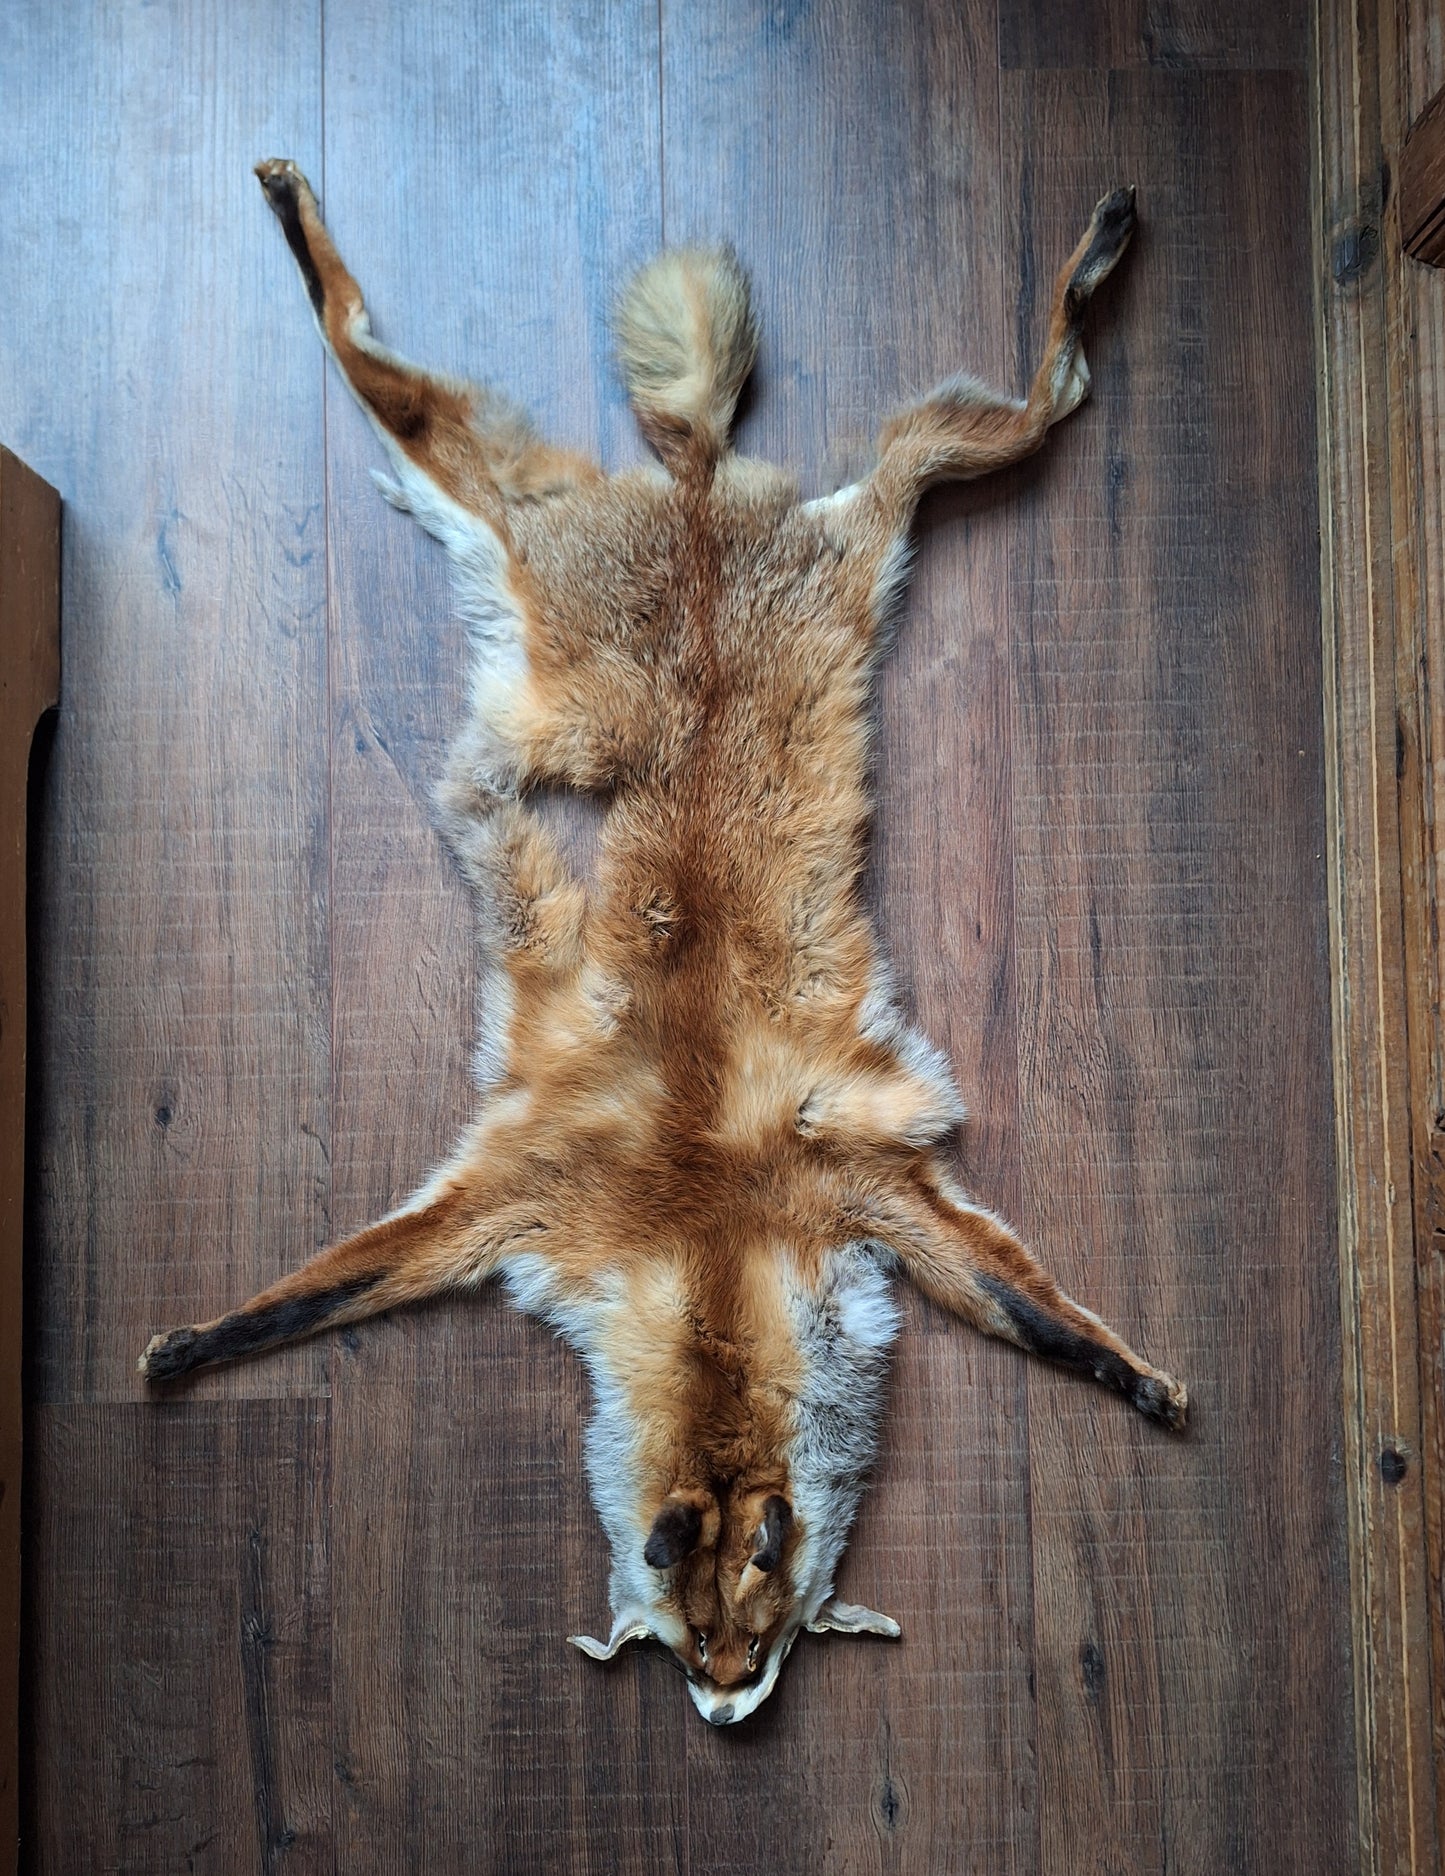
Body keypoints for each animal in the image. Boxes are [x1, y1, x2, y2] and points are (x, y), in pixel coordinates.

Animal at [140, 160, 1185, 1726]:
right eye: (702, 1647)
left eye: (758, 1638)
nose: (727, 1715)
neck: (701, 1225)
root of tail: (695, 499)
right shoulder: (527, 1189)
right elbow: (299, 1301)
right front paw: (199, 1346)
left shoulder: (867, 1192)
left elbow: (1050, 1322)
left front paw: (1135, 1380)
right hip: (545, 573)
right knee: (388, 370)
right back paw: (295, 214)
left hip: (838, 531)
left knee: (1017, 403)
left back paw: (1095, 257)